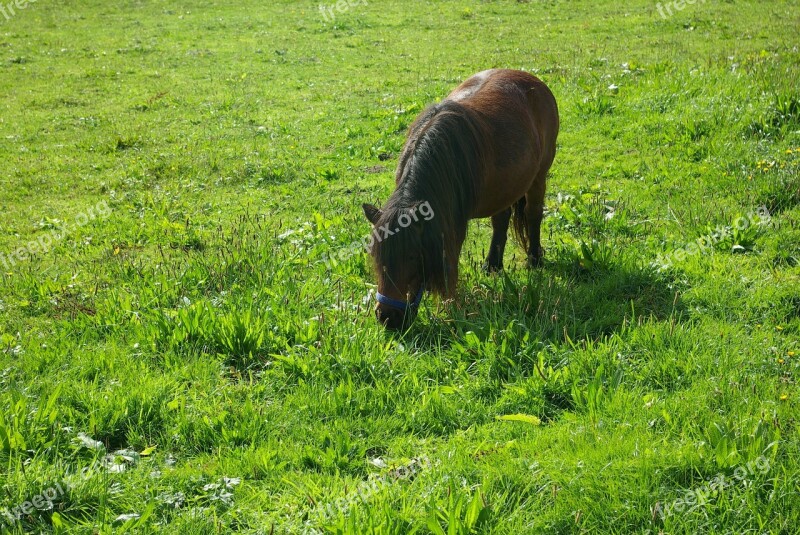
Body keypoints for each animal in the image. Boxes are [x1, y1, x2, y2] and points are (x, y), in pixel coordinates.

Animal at [360, 69, 556, 328]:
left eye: (412, 256)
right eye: (376, 256)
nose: (387, 317)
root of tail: (532, 79)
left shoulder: (453, 223)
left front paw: (451, 307)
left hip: (538, 177)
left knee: (533, 215)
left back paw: (534, 260)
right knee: (500, 220)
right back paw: (492, 265)